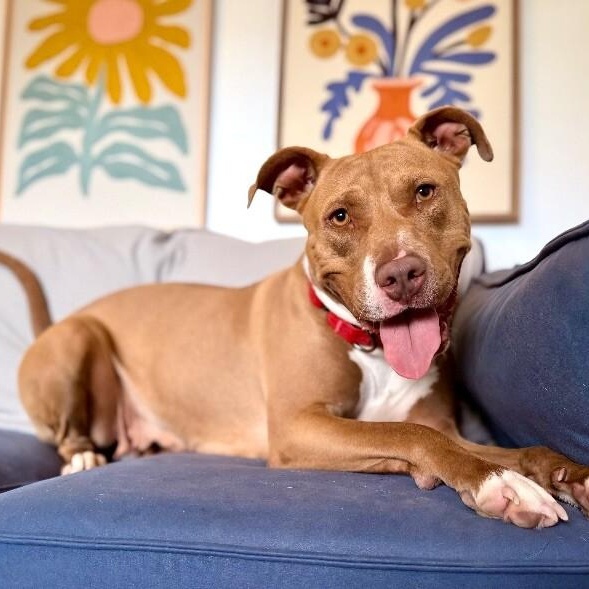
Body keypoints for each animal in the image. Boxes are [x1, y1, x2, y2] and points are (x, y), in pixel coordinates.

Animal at [3, 107, 588, 529]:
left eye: (425, 191)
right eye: (340, 216)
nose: (401, 274)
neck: (371, 348)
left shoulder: (440, 422)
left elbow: (496, 445)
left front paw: (563, 472)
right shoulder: (298, 427)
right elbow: (411, 436)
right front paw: (498, 485)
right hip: (77, 338)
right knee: (68, 434)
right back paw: (82, 458)